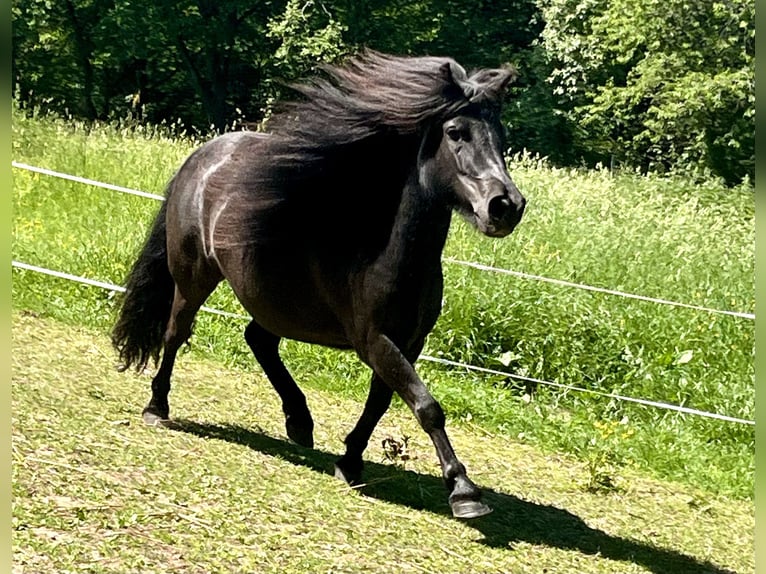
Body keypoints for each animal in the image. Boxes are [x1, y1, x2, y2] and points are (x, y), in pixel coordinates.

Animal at [111, 51, 526, 519]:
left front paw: (350, 461)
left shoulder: (409, 342)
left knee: (259, 340)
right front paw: (464, 492)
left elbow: (380, 402)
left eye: (501, 135)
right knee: (175, 334)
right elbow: (426, 405)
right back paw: (157, 407)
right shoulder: (376, 340)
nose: (506, 206)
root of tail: (202, 158)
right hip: (194, 278)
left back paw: (300, 422)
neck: (382, 248)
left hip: (270, 298)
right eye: (456, 133)